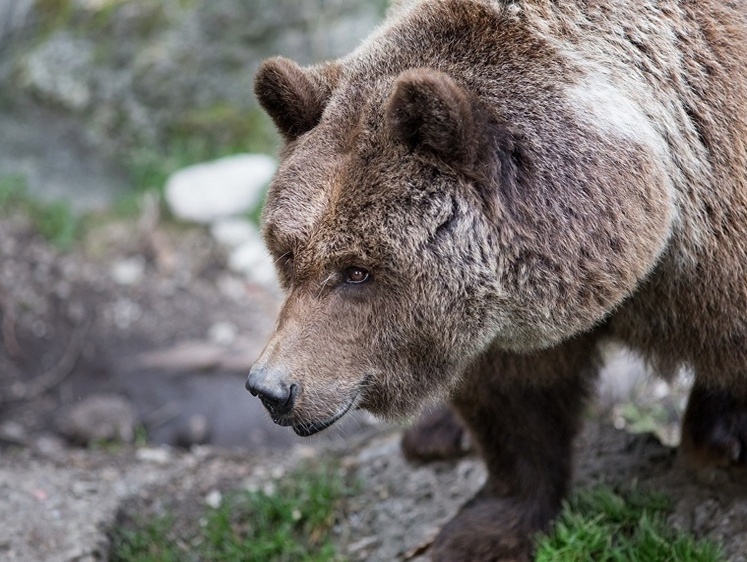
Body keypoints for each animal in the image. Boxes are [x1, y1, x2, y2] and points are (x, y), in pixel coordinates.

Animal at [247, 2, 747, 556]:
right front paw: (483, 529)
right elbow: (514, 403)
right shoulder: (497, 314)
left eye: (357, 270)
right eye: (287, 252)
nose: (272, 389)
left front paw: (723, 434)